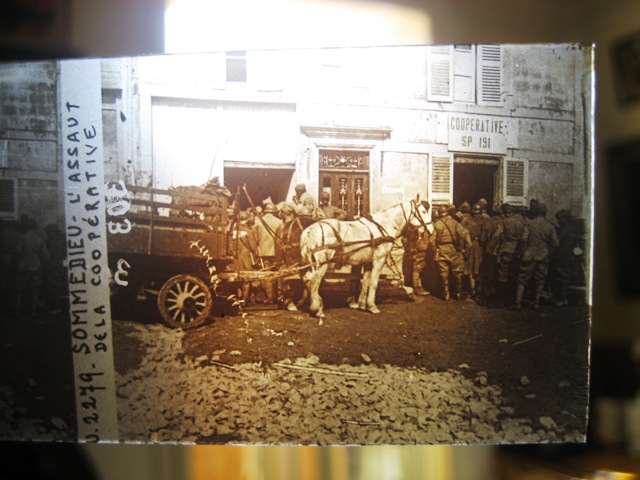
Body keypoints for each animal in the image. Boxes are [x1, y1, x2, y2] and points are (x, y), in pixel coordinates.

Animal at [298, 200, 430, 318]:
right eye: (423, 211)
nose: (430, 230)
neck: (383, 225)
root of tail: (308, 230)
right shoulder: (379, 259)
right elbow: (374, 282)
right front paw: (372, 306)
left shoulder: (368, 261)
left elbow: (366, 281)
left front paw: (362, 304)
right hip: (322, 263)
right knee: (314, 281)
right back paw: (317, 309)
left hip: (312, 262)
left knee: (307, 278)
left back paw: (313, 303)